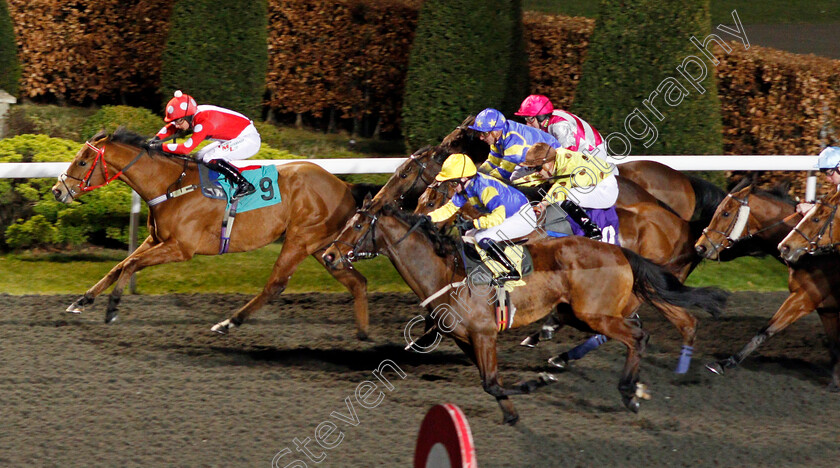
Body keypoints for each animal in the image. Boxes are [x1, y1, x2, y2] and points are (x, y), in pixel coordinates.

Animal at [49, 128, 370, 338]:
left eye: (82, 161)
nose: (57, 190)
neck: (172, 184)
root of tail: (344, 185)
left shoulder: (181, 248)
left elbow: (130, 264)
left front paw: (113, 308)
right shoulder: (157, 239)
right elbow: (119, 265)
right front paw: (82, 301)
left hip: (300, 240)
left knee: (275, 285)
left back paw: (229, 323)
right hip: (324, 248)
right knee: (358, 282)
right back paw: (363, 334)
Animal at [322, 203, 728, 422]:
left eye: (358, 224)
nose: (328, 255)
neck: (445, 272)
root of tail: (619, 250)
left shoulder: (484, 333)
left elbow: (491, 381)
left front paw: (535, 384)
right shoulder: (466, 339)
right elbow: (490, 382)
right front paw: (514, 409)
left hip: (593, 314)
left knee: (637, 337)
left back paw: (630, 392)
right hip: (578, 313)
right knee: (636, 332)